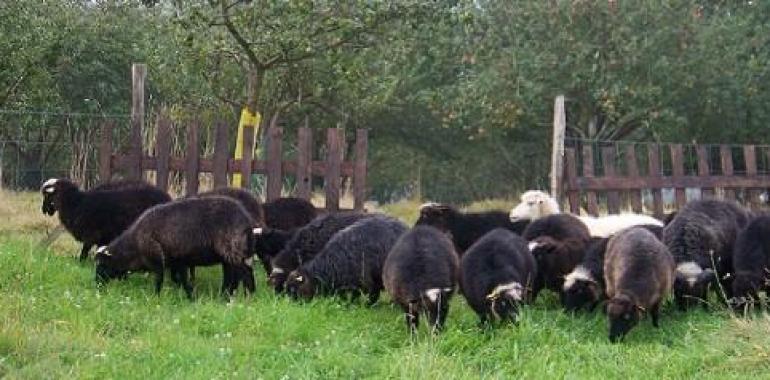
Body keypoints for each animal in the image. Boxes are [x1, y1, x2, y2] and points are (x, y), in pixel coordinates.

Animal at [40, 178, 171, 262]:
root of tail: (167, 197)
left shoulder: (91, 234)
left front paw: (81, 262)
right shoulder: (102, 238)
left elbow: (85, 250)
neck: (76, 203)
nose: (43, 210)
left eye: (47, 196)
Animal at [94, 196, 255, 300]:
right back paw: (227, 295)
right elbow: (181, 279)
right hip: (230, 253)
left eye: (102, 265)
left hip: (232, 247)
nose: (97, 285)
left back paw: (246, 296)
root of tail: (246, 218)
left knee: (243, 272)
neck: (134, 246)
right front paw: (191, 295)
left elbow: (160, 279)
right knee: (234, 274)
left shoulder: (157, 259)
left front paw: (156, 297)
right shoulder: (178, 260)